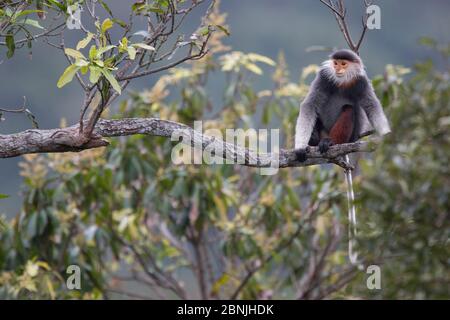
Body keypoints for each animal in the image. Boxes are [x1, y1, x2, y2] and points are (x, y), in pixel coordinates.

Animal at [296, 50, 390, 264]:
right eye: (336, 63)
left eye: (344, 64)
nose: (338, 68)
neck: (342, 82)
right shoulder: (324, 77)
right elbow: (309, 106)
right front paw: (300, 147)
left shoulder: (361, 82)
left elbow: (372, 107)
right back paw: (315, 141)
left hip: (349, 135)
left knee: (349, 109)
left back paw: (330, 143)